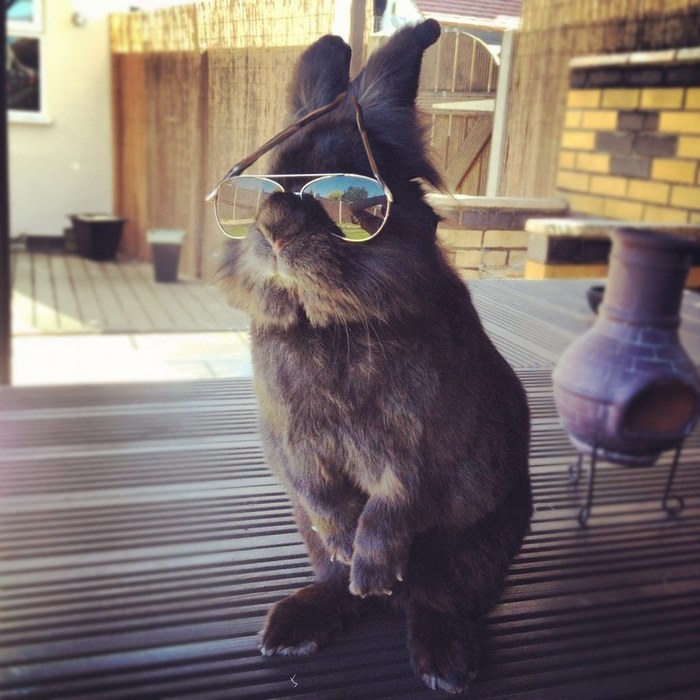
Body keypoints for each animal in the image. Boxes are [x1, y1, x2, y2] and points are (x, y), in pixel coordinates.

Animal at [217, 19, 532, 695]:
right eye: (266, 183)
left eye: (346, 192)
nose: (274, 229)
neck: (331, 325)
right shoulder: (292, 442)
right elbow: (323, 495)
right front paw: (352, 552)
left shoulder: (424, 445)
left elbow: (395, 502)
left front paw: (374, 569)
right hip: (309, 536)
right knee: (338, 584)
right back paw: (296, 625)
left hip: (477, 547)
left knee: (436, 597)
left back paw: (442, 658)